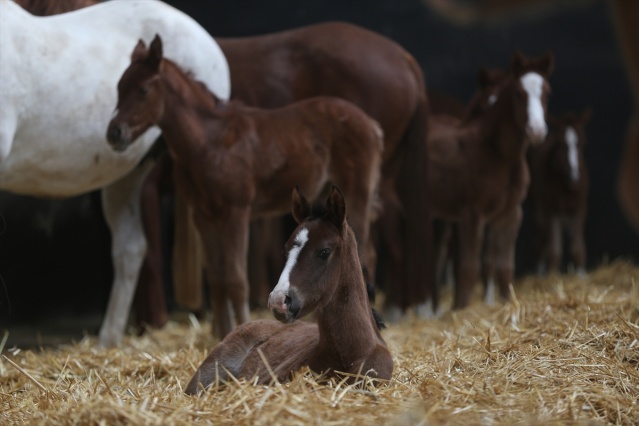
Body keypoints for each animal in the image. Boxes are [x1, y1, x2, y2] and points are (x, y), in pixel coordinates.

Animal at [107, 35, 382, 340]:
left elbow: (237, 279)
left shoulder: (235, 212)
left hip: (356, 192)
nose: (114, 133)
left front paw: (241, 327)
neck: (209, 141)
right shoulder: (204, 216)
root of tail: (370, 123)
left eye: (143, 89)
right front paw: (222, 334)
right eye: (119, 87)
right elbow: (217, 278)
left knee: (366, 251)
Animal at [528, 110, 592, 274]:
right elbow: (554, 250)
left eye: (582, 142)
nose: (574, 176)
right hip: (539, 205)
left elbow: (577, 248)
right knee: (541, 237)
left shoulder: (580, 208)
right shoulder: (553, 210)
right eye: (560, 145)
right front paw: (552, 275)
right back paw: (540, 272)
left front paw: (581, 274)